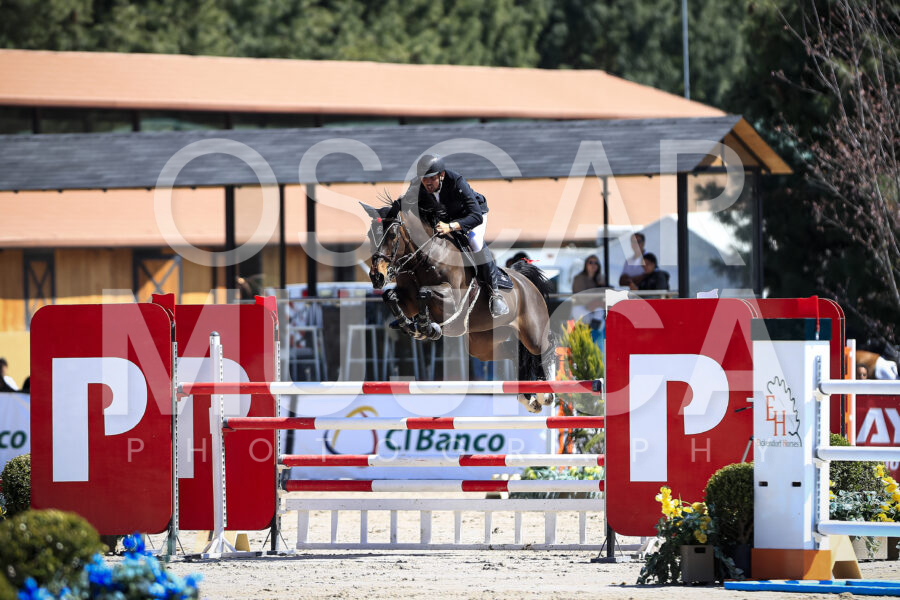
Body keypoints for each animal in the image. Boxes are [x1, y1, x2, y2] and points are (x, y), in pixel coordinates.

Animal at [361, 198, 557, 413]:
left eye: (393, 235)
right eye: (370, 235)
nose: (377, 277)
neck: (422, 260)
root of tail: (525, 280)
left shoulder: (452, 300)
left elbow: (424, 292)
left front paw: (425, 327)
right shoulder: (407, 300)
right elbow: (390, 296)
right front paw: (412, 326)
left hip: (532, 331)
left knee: (546, 345)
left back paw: (546, 393)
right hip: (484, 343)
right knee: (516, 353)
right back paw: (528, 398)